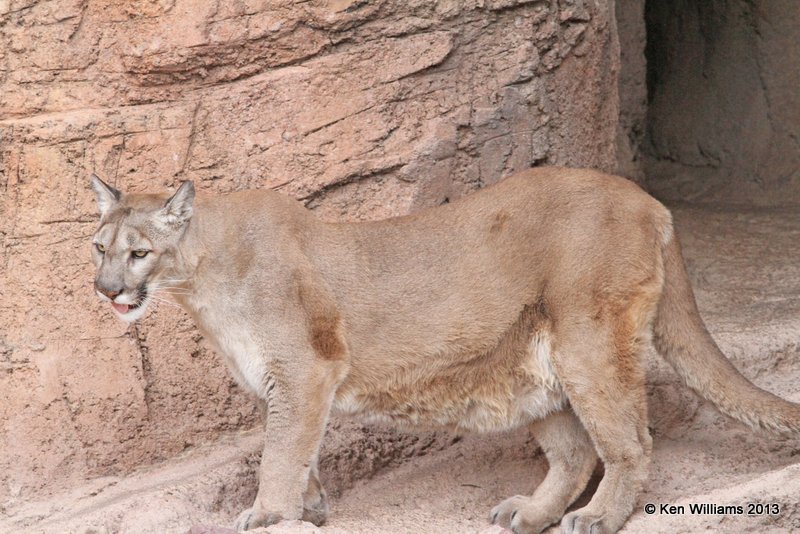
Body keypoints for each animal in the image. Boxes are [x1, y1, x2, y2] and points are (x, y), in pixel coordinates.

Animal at [89, 169, 800, 534]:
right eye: (99, 248)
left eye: (139, 252)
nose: (105, 289)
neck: (200, 279)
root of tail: (648, 199)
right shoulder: (288, 385)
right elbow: (298, 449)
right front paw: (308, 509)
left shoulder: (305, 371)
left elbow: (279, 452)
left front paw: (268, 513)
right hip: (532, 362)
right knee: (573, 452)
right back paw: (531, 513)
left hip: (589, 341)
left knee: (628, 442)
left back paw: (598, 517)